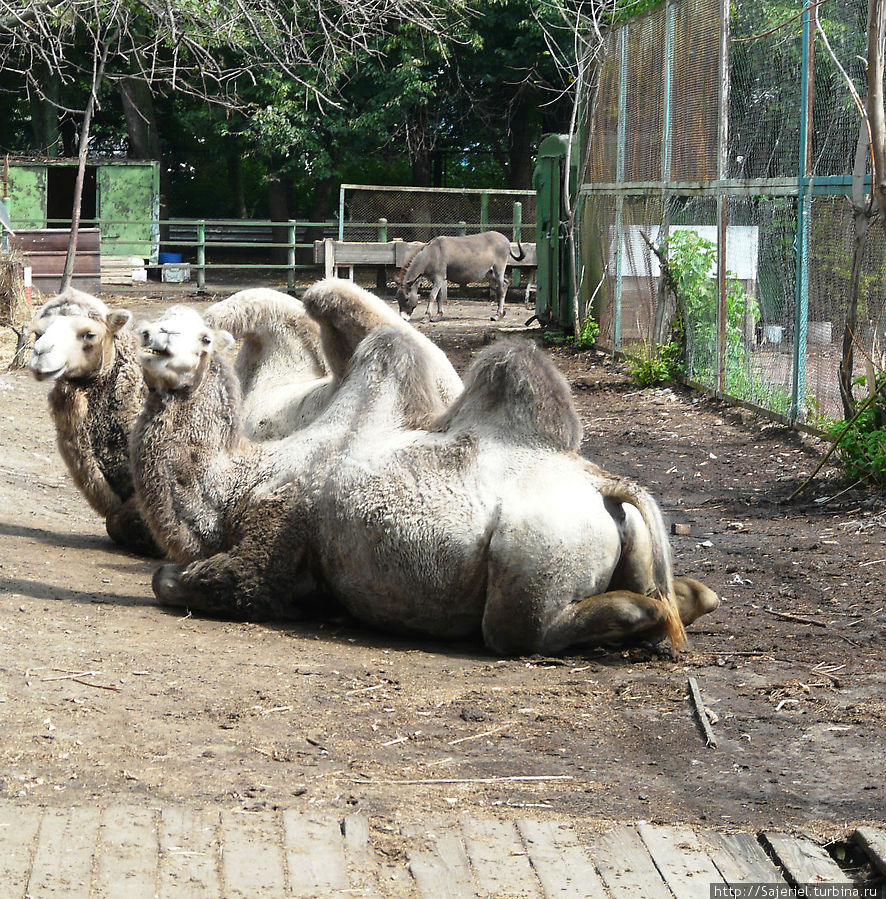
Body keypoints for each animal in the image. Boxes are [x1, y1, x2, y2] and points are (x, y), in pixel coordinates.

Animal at [130, 302, 716, 652]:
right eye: (159, 322)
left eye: (204, 338)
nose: (150, 336)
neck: (238, 481)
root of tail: (602, 484)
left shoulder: (272, 540)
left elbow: (175, 580)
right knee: (685, 597)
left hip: (539, 554)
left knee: (523, 631)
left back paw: (635, 619)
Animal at [396, 232, 528, 324]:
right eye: (397, 299)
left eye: (406, 299)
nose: (403, 319)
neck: (430, 255)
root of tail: (506, 240)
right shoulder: (439, 279)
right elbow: (439, 296)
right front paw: (438, 316)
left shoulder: (439, 278)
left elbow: (432, 296)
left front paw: (426, 317)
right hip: (490, 272)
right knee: (505, 284)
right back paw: (502, 313)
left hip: (499, 268)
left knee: (500, 288)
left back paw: (497, 315)